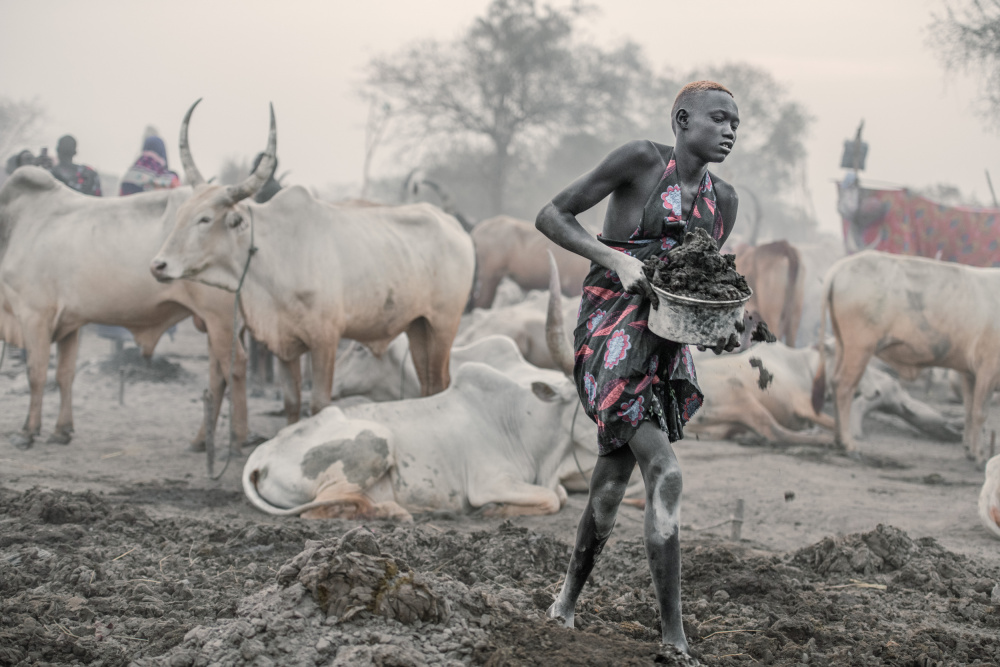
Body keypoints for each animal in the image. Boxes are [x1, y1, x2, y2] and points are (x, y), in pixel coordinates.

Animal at [0, 166, 254, 454]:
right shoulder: (69, 323)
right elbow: (64, 375)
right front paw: (61, 431)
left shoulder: (35, 315)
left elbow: (36, 373)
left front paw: (27, 432)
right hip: (213, 323)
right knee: (217, 376)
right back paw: (200, 441)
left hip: (221, 320)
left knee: (235, 367)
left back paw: (238, 440)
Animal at [150, 99, 474, 422]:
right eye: (180, 214)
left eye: (205, 219)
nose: (158, 265)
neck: (275, 252)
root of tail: (456, 229)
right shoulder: (283, 344)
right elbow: (292, 402)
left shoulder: (325, 341)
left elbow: (318, 404)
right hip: (417, 326)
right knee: (428, 385)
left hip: (444, 326)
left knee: (441, 383)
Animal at [812, 250, 1000, 464]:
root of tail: (842, 266)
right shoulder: (988, 368)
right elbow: (980, 413)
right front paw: (979, 456)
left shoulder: (969, 372)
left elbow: (969, 411)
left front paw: (970, 450)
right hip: (859, 348)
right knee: (843, 387)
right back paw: (848, 444)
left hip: (843, 345)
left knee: (835, 383)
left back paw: (838, 439)